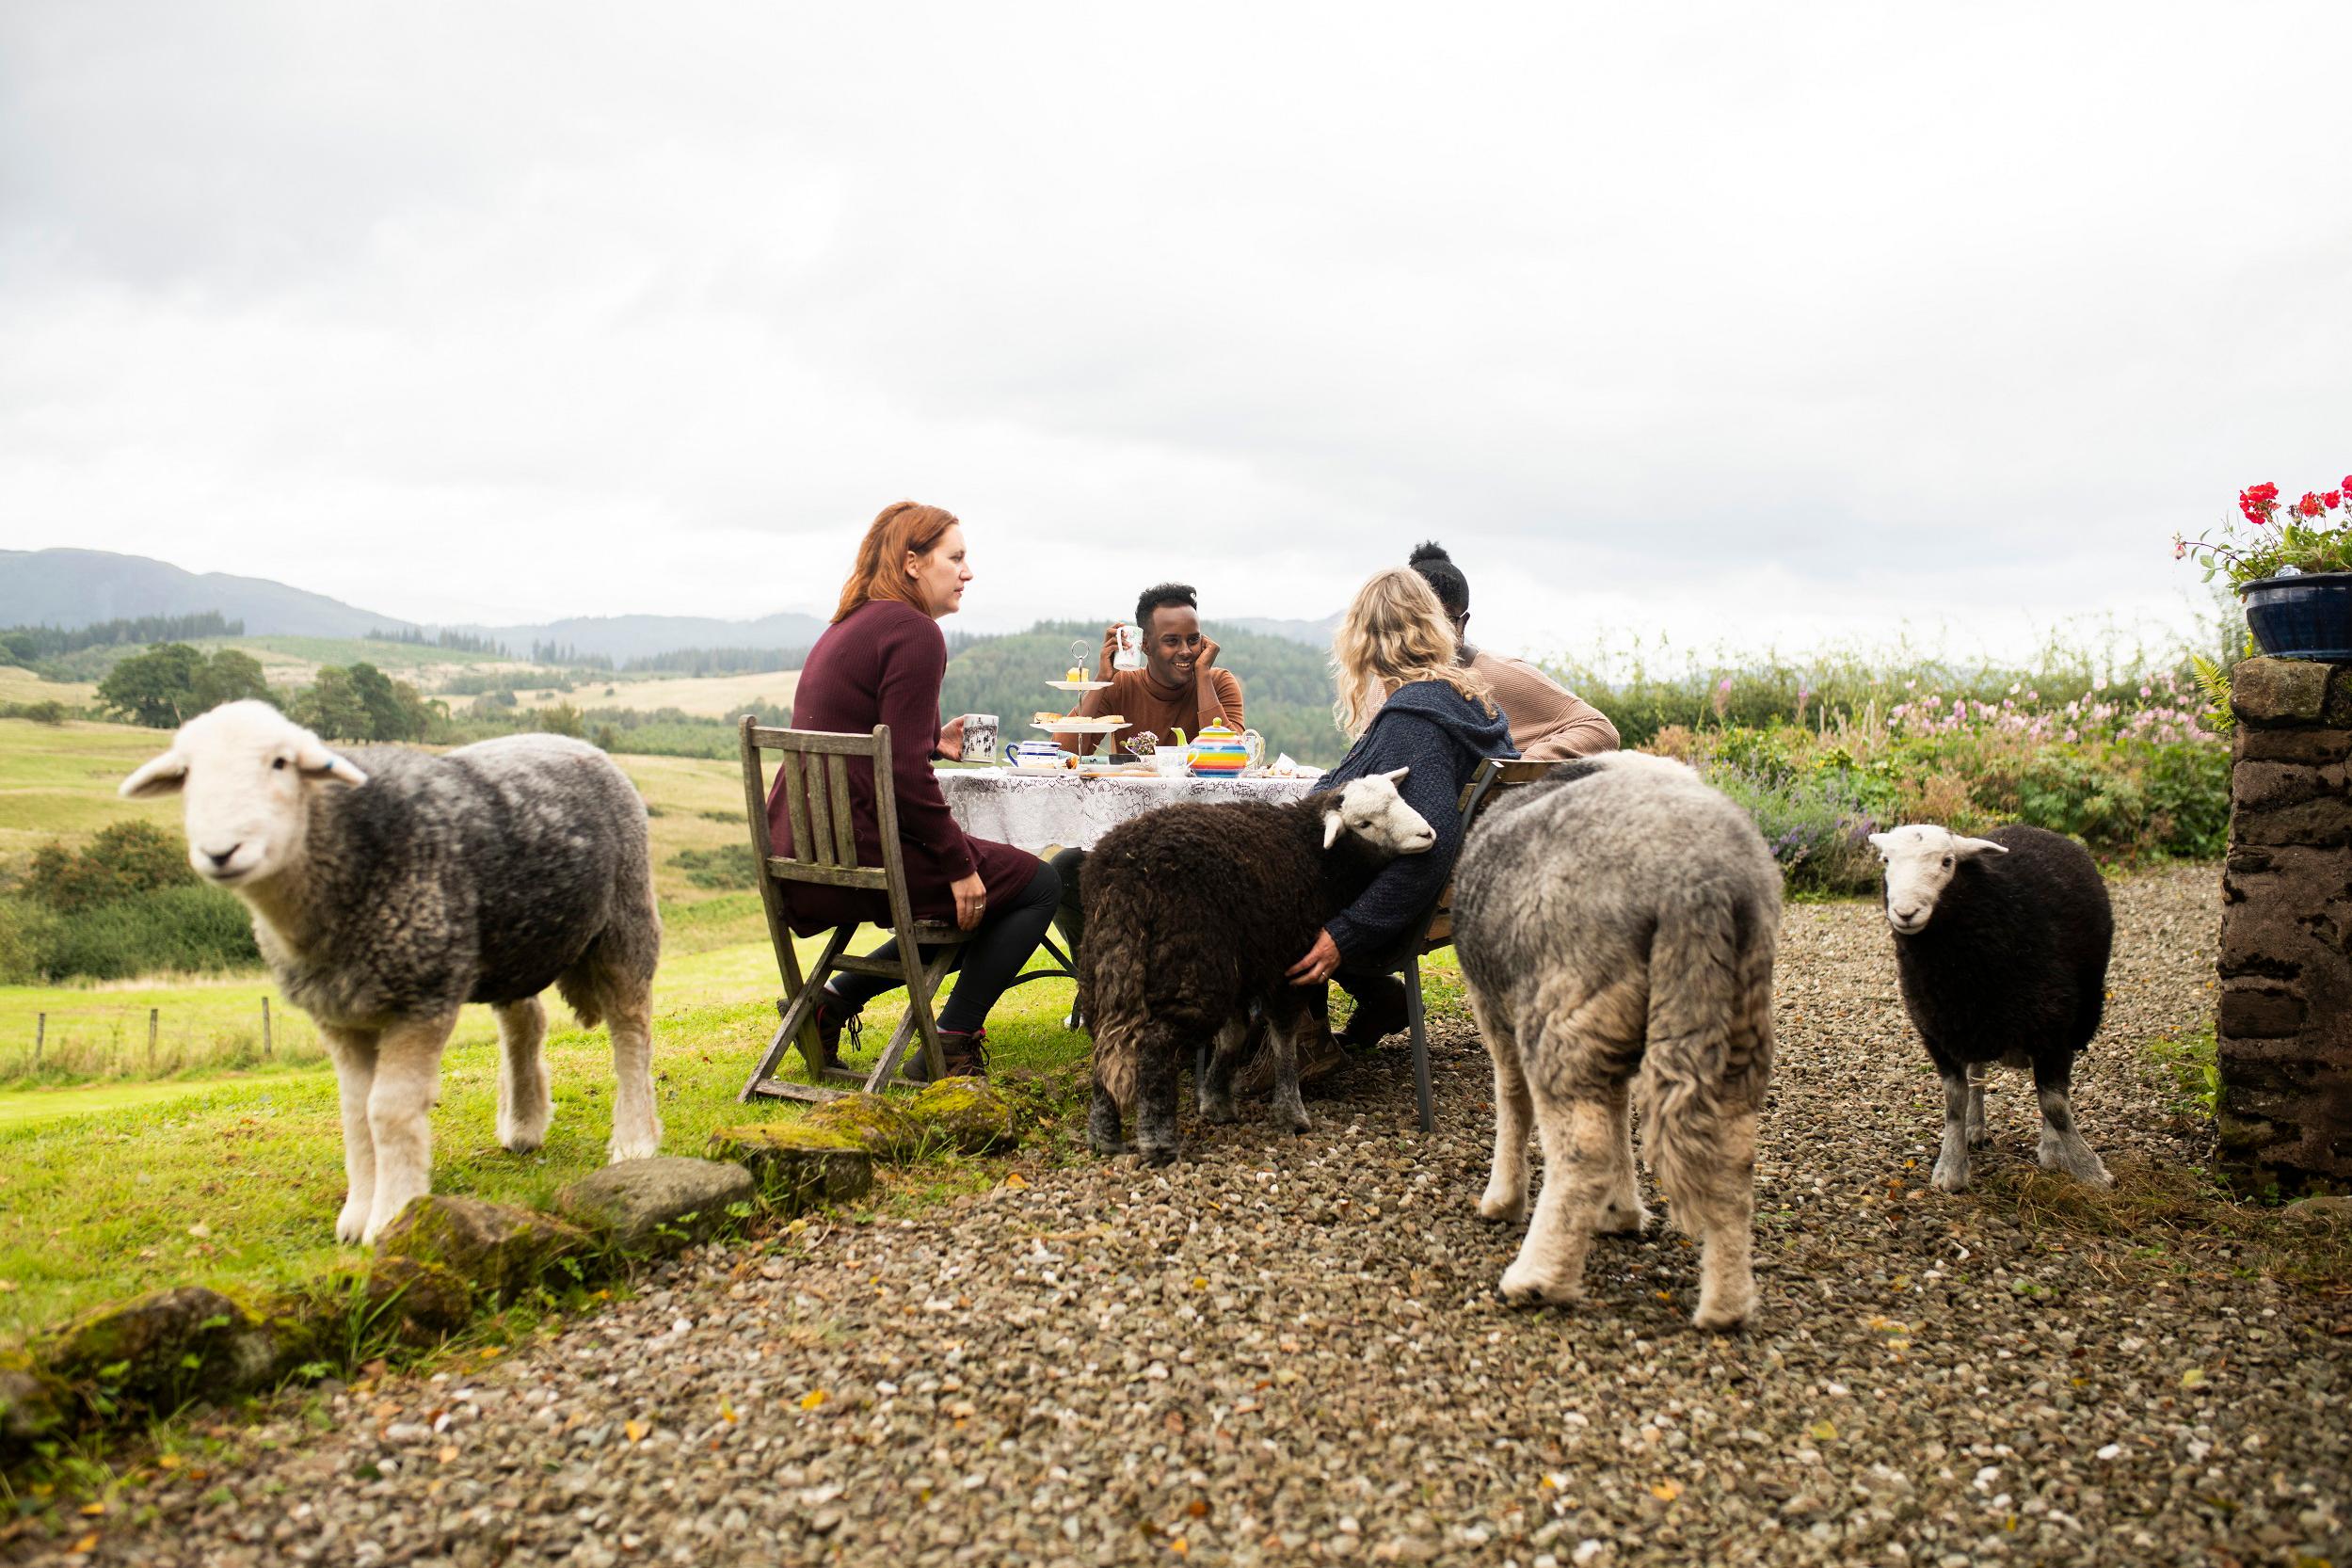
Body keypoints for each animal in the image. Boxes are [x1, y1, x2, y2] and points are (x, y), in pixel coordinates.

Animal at [125, 705, 667, 1240]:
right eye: (187, 773)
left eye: (281, 763)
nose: (220, 851)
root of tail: (570, 740)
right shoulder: (338, 1016)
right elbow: (354, 1113)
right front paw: (356, 1216)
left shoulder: (421, 998)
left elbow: (387, 1111)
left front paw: (391, 1216)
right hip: (515, 938)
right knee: (525, 1022)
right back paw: (523, 1124)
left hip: (624, 918)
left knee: (630, 1030)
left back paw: (634, 1140)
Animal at [1077, 771, 1430, 1165]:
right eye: (1364, 824)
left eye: (1398, 798)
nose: (1427, 834)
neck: (1312, 853)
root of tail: (1126, 879)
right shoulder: (1289, 964)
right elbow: (1283, 1037)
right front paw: (1290, 1113)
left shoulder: (1244, 965)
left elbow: (1234, 1034)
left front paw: (1216, 1101)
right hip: (1195, 969)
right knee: (1154, 1044)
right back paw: (1158, 1140)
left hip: (1105, 961)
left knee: (1104, 1037)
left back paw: (1103, 1135)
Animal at [1458, 752, 1768, 1335]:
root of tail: (1697, 880)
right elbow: (1621, 1111)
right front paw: (1621, 1212)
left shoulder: (1494, 1010)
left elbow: (1512, 1101)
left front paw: (1502, 1199)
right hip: (1732, 1014)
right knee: (1733, 1156)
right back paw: (1726, 1303)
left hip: (1563, 1009)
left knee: (1584, 1151)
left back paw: (1538, 1278)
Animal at [1863, 823, 2126, 1189]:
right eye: (1886, 860)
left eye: (1947, 862)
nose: (1905, 913)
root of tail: (2031, 827)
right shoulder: (1939, 1028)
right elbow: (1954, 1101)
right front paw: (1951, 1166)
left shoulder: (2053, 1027)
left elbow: (2054, 1105)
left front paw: (2088, 1170)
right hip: (1975, 1024)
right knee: (1976, 1073)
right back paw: (1975, 1127)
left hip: (2081, 1011)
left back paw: (2052, 1146)